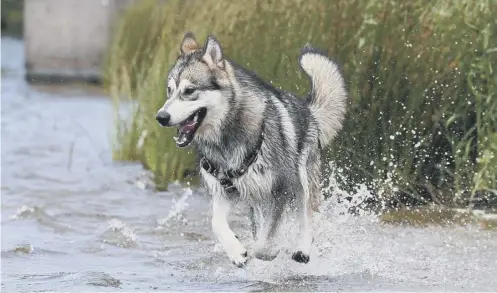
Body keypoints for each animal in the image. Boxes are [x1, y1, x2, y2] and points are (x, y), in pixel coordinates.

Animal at [155, 32, 344, 266]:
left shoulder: (281, 190)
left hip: (302, 182)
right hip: (256, 200)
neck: (226, 139)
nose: (161, 117)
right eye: (169, 90)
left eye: (189, 91)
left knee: (307, 216)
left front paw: (265, 251)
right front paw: (236, 251)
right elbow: (217, 223)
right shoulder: (223, 192)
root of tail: (308, 110)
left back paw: (302, 249)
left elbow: (266, 239)